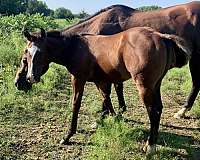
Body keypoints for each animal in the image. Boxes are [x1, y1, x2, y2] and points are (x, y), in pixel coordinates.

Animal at [19, 27, 192, 152]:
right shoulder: (100, 80)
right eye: (27, 52)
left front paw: (68, 136)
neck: (75, 47)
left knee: (153, 111)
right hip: (156, 85)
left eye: (41, 52)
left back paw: (150, 146)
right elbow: (106, 99)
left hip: (144, 86)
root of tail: (161, 36)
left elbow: (76, 104)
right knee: (159, 108)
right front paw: (112, 120)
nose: (31, 77)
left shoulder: (78, 79)